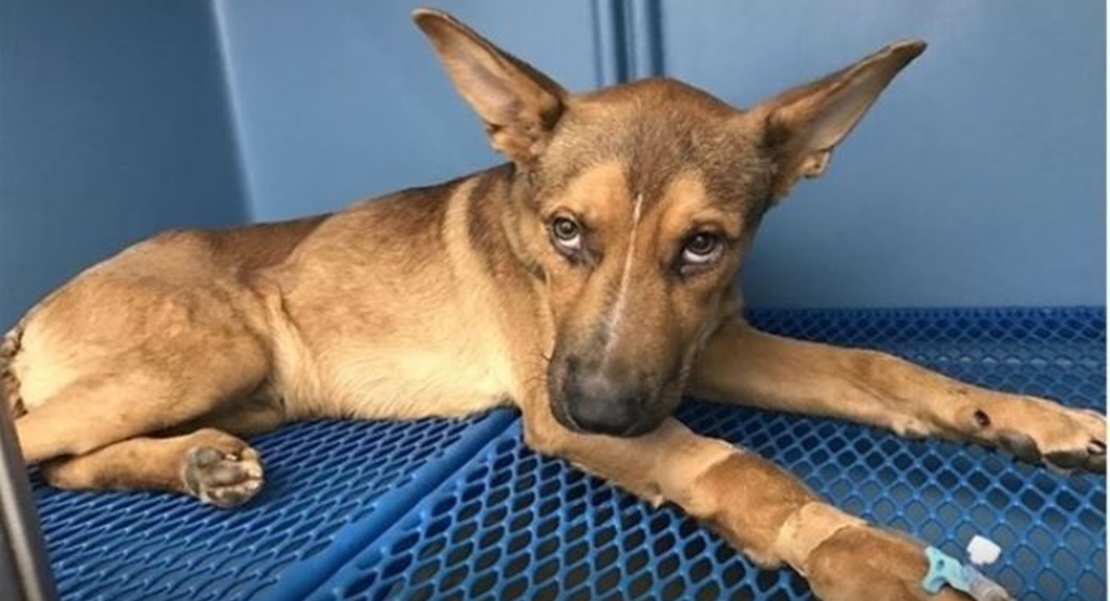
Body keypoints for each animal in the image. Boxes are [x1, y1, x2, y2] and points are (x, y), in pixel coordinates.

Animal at [4, 9, 1105, 599]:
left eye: (703, 244)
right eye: (566, 230)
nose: (606, 412)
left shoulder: (704, 350)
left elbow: (881, 368)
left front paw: (1030, 419)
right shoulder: (560, 409)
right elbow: (732, 465)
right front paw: (859, 549)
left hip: (248, 390)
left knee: (62, 461)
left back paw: (198, 462)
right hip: (208, 350)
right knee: (34, 449)